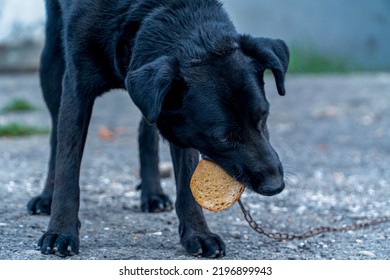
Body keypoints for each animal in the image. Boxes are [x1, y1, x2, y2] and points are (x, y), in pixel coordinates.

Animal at [27, 0, 290, 258]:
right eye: (222, 138)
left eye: (263, 116)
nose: (276, 185)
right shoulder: (77, 87)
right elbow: (68, 165)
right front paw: (60, 231)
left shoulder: (178, 120)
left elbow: (185, 177)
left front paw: (198, 234)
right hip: (52, 61)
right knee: (56, 136)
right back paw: (46, 197)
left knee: (146, 129)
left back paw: (152, 193)